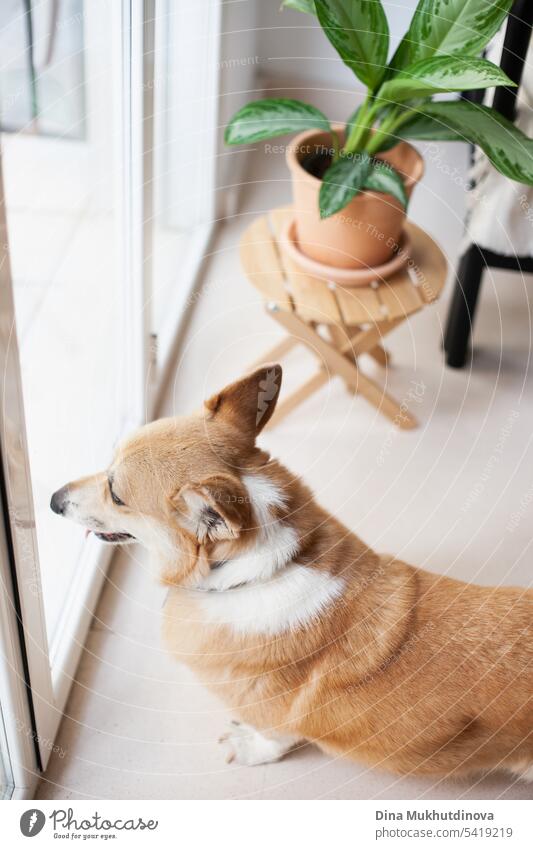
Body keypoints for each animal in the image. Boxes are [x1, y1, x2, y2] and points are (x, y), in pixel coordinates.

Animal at [51, 364, 532, 780]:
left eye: (116, 494)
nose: (54, 499)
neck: (254, 574)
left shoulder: (276, 717)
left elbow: (275, 737)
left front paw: (247, 746)